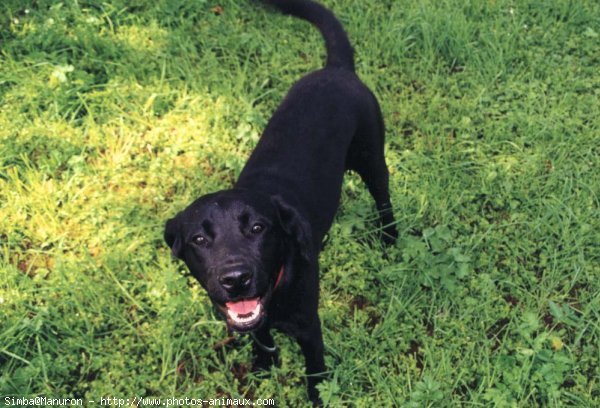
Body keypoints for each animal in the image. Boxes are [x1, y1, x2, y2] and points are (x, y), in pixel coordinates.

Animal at [166, 0, 396, 402]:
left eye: (258, 228)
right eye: (199, 239)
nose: (236, 279)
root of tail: (336, 69)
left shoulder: (308, 326)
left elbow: (315, 369)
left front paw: (318, 397)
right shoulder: (255, 320)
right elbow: (261, 336)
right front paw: (264, 364)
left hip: (372, 159)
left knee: (384, 200)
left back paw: (390, 238)